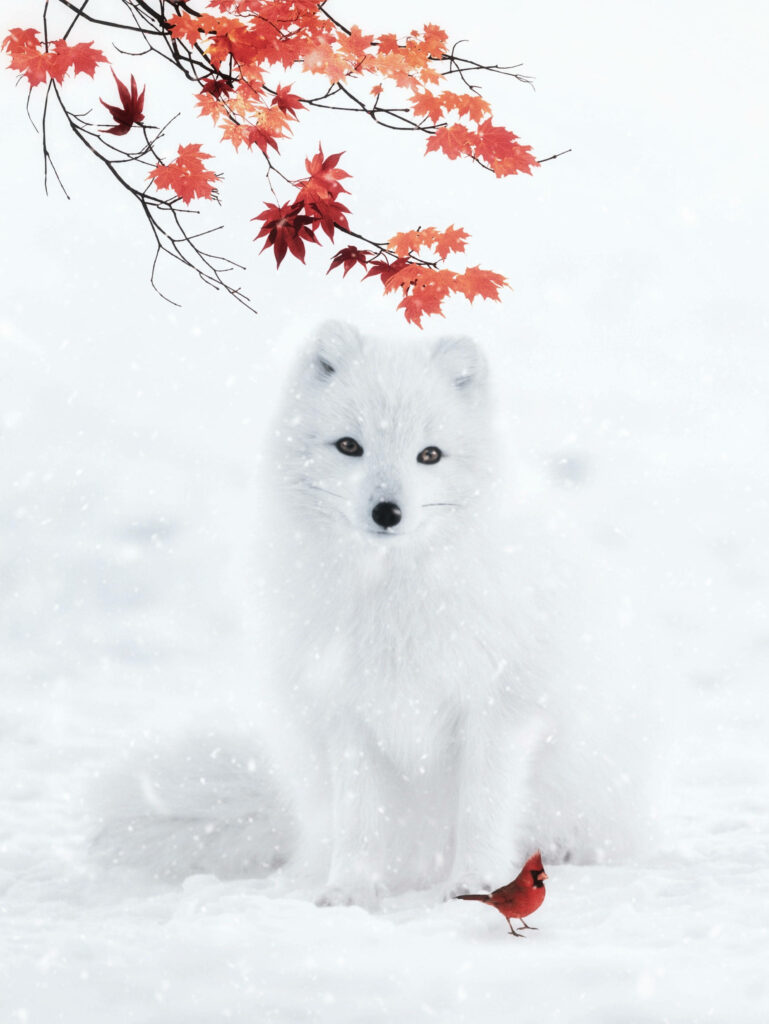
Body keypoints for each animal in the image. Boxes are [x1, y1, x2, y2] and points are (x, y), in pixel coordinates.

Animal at [93, 321, 653, 908]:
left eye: (429, 455)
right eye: (349, 446)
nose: (387, 511)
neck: (394, 595)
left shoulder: (498, 707)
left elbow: (482, 809)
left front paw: (476, 884)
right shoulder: (348, 711)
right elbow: (362, 818)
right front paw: (349, 891)